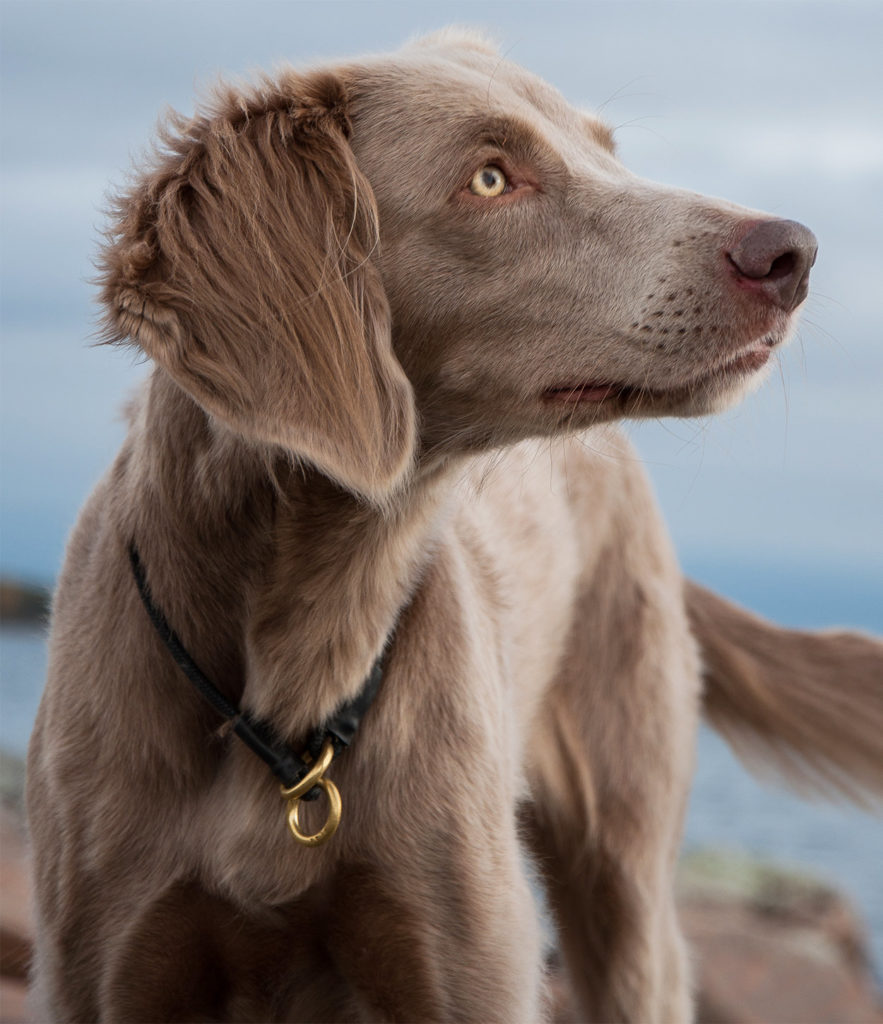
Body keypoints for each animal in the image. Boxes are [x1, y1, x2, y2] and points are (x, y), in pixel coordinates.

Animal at [27, 28, 883, 1019]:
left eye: (606, 149)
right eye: (489, 178)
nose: (793, 253)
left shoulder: (469, 964)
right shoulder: (102, 963)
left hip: (625, 882)